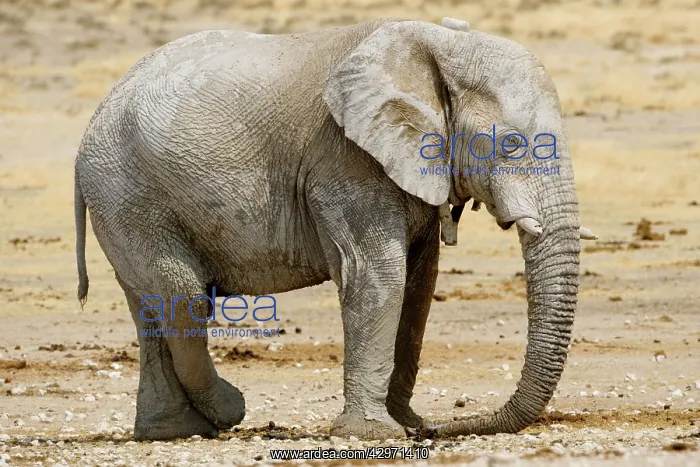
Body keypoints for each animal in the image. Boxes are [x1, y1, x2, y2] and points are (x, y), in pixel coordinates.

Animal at [74, 16, 597, 441]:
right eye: (510, 144)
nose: (437, 429)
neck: (437, 45)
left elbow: (419, 284)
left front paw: (402, 423)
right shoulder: (344, 160)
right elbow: (377, 275)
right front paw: (373, 435)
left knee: (150, 308)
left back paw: (172, 432)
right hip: (128, 196)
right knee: (183, 296)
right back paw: (226, 412)